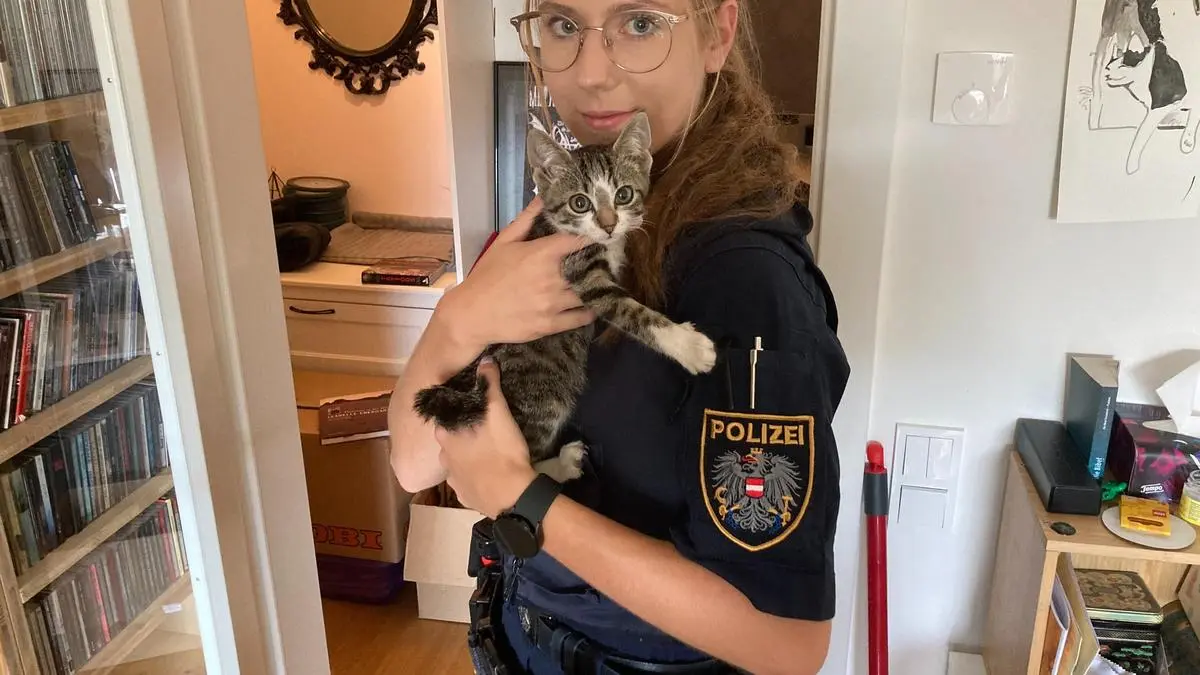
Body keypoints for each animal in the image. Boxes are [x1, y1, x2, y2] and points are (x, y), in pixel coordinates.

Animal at [412, 112, 717, 483]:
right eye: (579, 203)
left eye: (624, 194)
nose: (609, 225)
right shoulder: (583, 276)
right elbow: (632, 312)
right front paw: (689, 346)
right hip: (545, 397)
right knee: (526, 458)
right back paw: (563, 462)